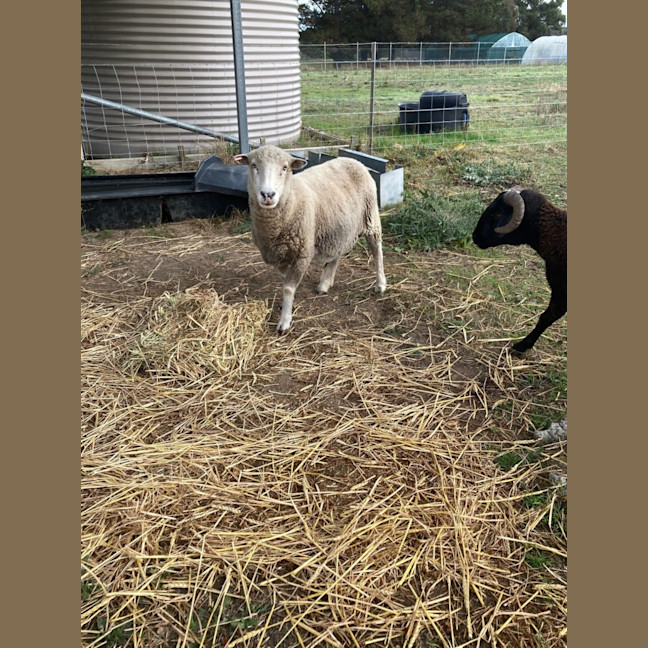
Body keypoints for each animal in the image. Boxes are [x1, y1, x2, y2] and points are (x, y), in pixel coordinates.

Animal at [233, 145, 387, 334]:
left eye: (285, 167)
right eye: (253, 165)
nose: (268, 194)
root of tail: (354, 161)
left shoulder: (303, 253)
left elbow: (288, 288)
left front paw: (284, 321)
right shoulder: (281, 257)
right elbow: (285, 281)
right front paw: (285, 307)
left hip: (371, 217)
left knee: (377, 250)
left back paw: (380, 284)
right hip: (338, 229)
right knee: (337, 254)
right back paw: (325, 283)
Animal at [472, 188, 566, 353]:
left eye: (499, 213)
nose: (475, 236)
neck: (554, 233)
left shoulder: (561, 291)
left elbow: (547, 317)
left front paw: (522, 345)